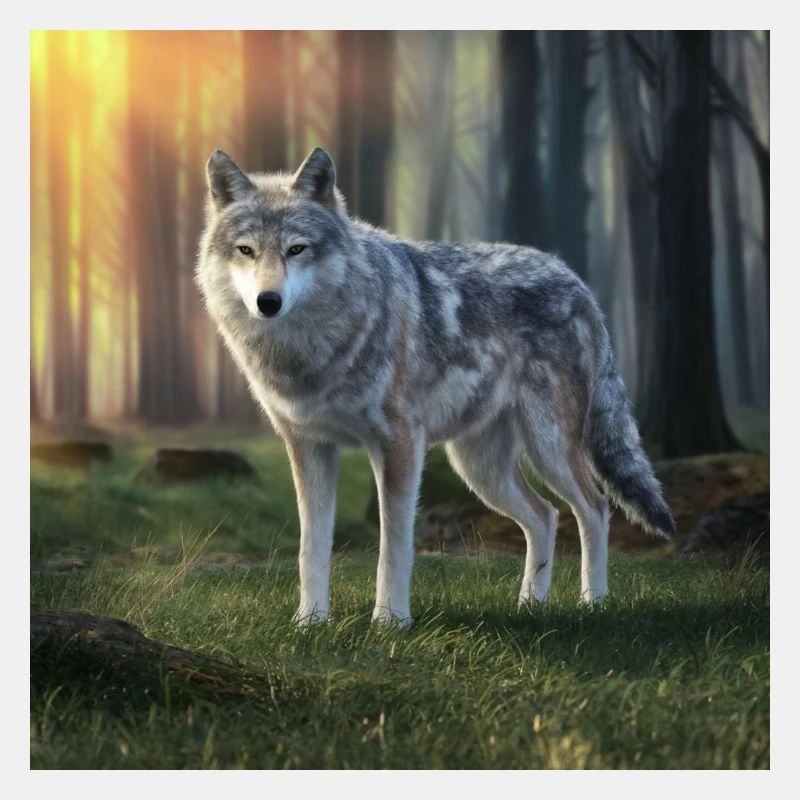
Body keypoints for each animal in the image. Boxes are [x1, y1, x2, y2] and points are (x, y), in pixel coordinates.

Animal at [195, 147, 675, 626]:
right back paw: (529, 607)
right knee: (546, 516)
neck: (310, 351)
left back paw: (593, 603)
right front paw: (310, 623)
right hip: (480, 468)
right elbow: (309, 549)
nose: (268, 302)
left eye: (296, 249)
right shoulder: (308, 446)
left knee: (594, 507)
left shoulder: (398, 443)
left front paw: (389, 623)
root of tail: (577, 282)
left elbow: (393, 549)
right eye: (246, 251)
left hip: (549, 448)